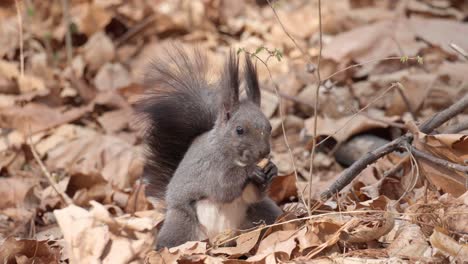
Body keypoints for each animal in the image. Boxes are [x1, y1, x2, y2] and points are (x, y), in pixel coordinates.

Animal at [135, 45, 282, 250]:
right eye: (239, 130)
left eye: (269, 127)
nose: (264, 152)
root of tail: (218, 240)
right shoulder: (209, 168)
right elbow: (223, 188)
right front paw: (250, 171)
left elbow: (253, 196)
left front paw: (271, 169)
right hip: (182, 222)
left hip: (262, 213)